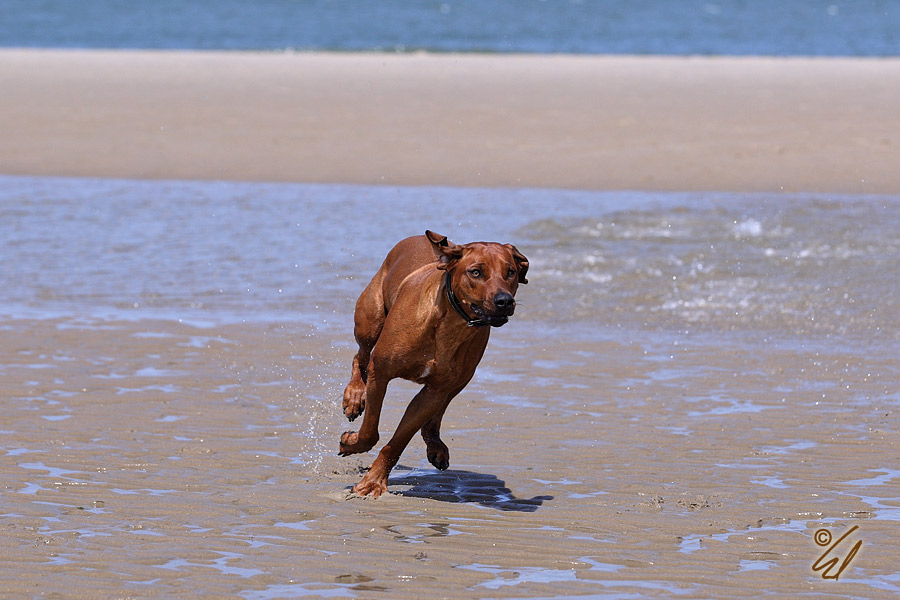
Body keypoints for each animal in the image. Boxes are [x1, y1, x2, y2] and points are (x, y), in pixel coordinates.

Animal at [342, 230, 532, 496]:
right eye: (476, 272)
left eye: (511, 272)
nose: (504, 301)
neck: (448, 324)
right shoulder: (380, 372)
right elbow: (369, 432)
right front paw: (351, 443)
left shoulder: (435, 391)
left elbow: (398, 441)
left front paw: (373, 481)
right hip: (369, 322)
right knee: (360, 356)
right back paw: (354, 396)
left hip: (461, 379)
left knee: (438, 411)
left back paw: (435, 445)